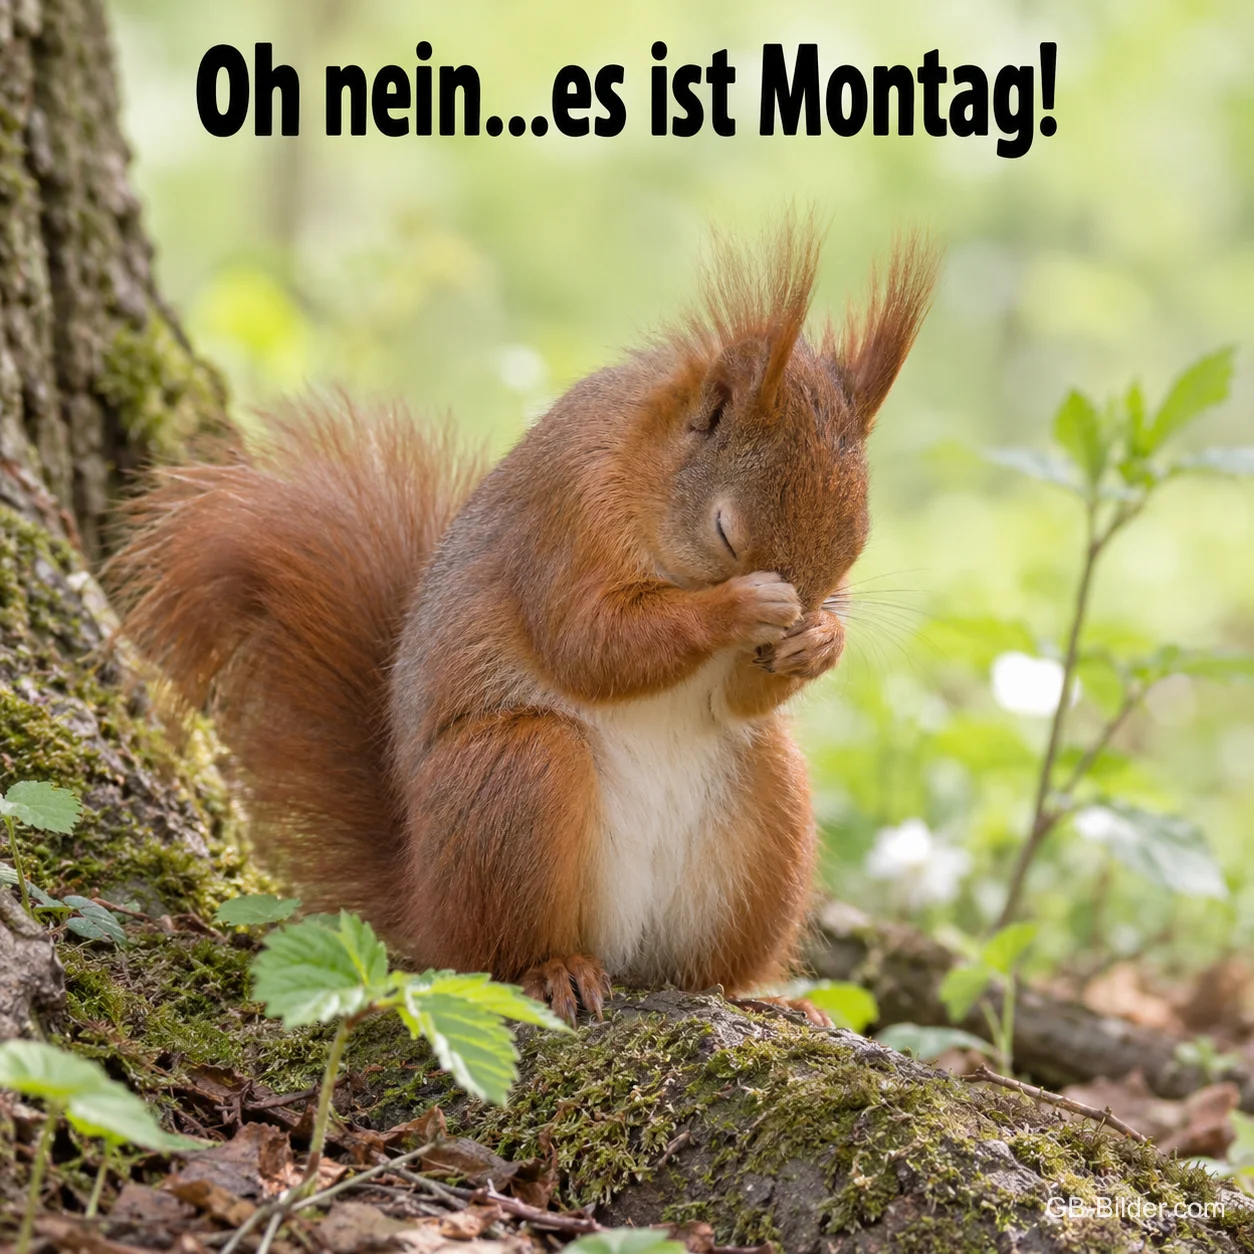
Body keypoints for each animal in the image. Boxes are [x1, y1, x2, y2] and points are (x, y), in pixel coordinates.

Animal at [109, 223, 935, 1023]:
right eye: (727, 531)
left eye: (855, 548)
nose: (804, 610)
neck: (643, 467)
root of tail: (424, 901)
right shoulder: (566, 520)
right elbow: (591, 644)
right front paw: (742, 606)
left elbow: (732, 696)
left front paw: (820, 643)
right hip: (517, 780)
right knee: (498, 952)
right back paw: (558, 968)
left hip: (768, 809)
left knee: (705, 962)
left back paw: (763, 998)